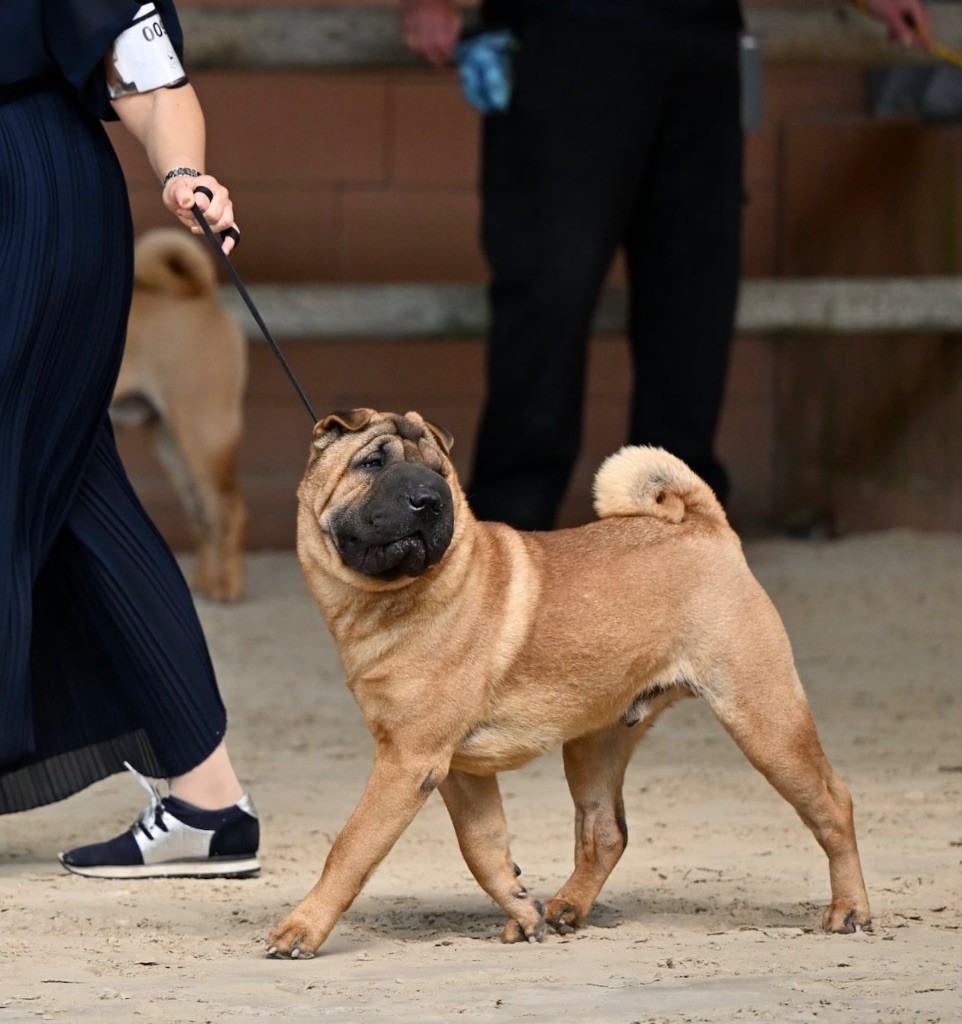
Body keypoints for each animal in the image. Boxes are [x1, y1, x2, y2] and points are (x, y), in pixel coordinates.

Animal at [111, 231, 247, 598]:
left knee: (229, 511)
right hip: (173, 447)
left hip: (201, 437)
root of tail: (203, 296)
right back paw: (205, 580)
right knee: (202, 518)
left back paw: (228, 586)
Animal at [266, 409, 868, 958]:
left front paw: (302, 929)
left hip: (765, 720)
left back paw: (850, 909)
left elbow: (352, 847)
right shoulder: (457, 770)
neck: (389, 600)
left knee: (833, 804)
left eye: (440, 474)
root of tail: (704, 525)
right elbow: (483, 849)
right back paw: (564, 909)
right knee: (605, 834)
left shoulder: (408, 763)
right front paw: (522, 911)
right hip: (595, 745)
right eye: (371, 464)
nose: (429, 498)